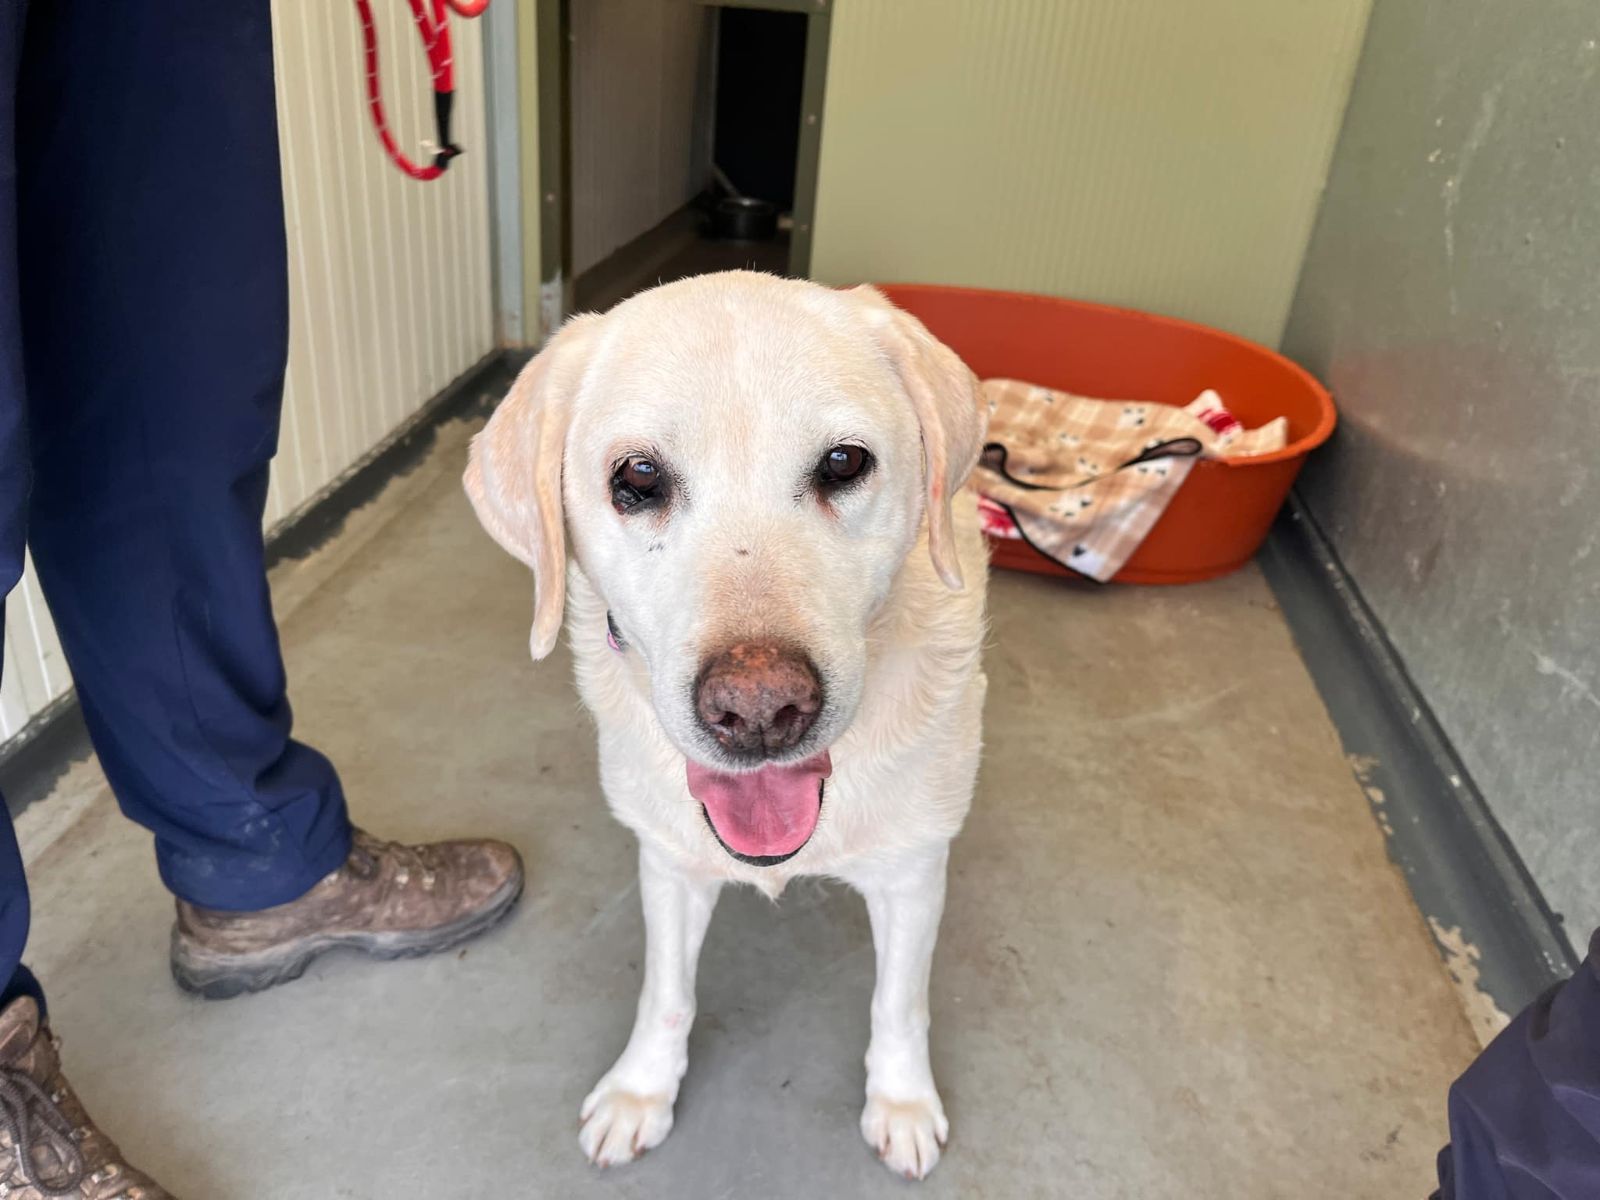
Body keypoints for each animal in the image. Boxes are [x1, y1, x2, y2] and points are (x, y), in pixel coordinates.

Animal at [464, 272, 985, 1184]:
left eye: (844, 463)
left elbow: (900, 1003)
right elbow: (666, 993)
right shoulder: (669, 862)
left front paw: (902, 1103)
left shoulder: (914, 870)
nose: (760, 711)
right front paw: (642, 1090)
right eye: (637, 475)